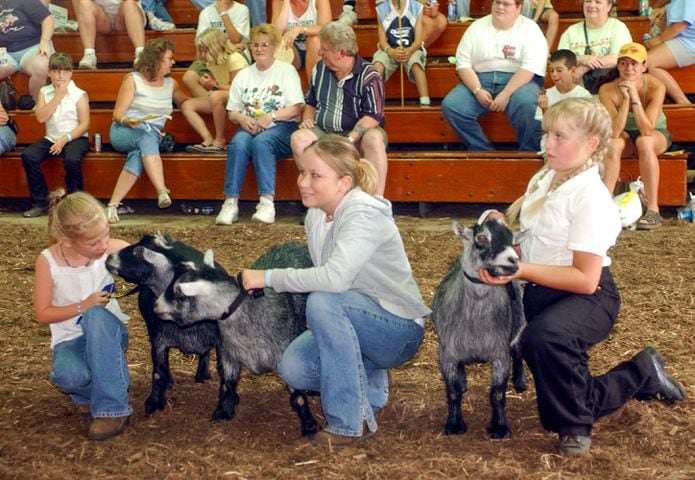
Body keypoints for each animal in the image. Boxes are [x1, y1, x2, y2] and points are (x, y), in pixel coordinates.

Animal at [430, 215, 528, 438]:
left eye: (513, 240)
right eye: (481, 237)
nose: (513, 260)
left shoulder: (500, 353)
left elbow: (497, 394)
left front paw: (499, 429)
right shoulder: (447, 354)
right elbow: (452, 392)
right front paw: (454, 425)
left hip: (519, 321)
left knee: (518, 349)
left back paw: (520, 381)